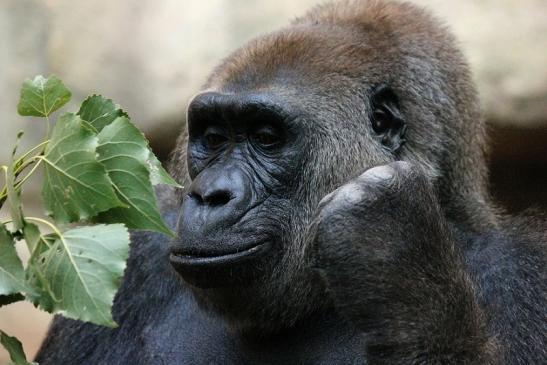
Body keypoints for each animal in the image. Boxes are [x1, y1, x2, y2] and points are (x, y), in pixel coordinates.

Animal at [36, 0, 544, 364]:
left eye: (266, 138)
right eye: (213, 138)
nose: (210, 195)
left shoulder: (525, 269)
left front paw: (400, 255)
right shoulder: (137, 259)